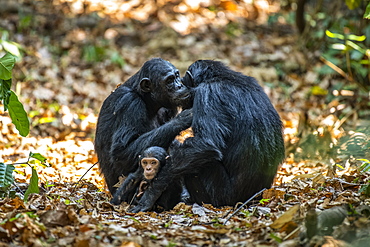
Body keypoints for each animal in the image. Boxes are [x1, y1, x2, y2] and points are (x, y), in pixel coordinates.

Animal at [94, 58, 192, 195]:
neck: (146, 99)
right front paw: (182, 119)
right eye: (169, 80)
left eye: (177, 76)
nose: (179, 85)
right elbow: (121, 152)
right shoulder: (130, 104)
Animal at [129, 58, 284, 211]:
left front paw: (151, 193)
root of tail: (252, 199)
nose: (180, 86)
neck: (220, 77)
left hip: (220, 196)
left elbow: (205, 144)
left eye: (181, 79)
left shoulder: (208, 94)